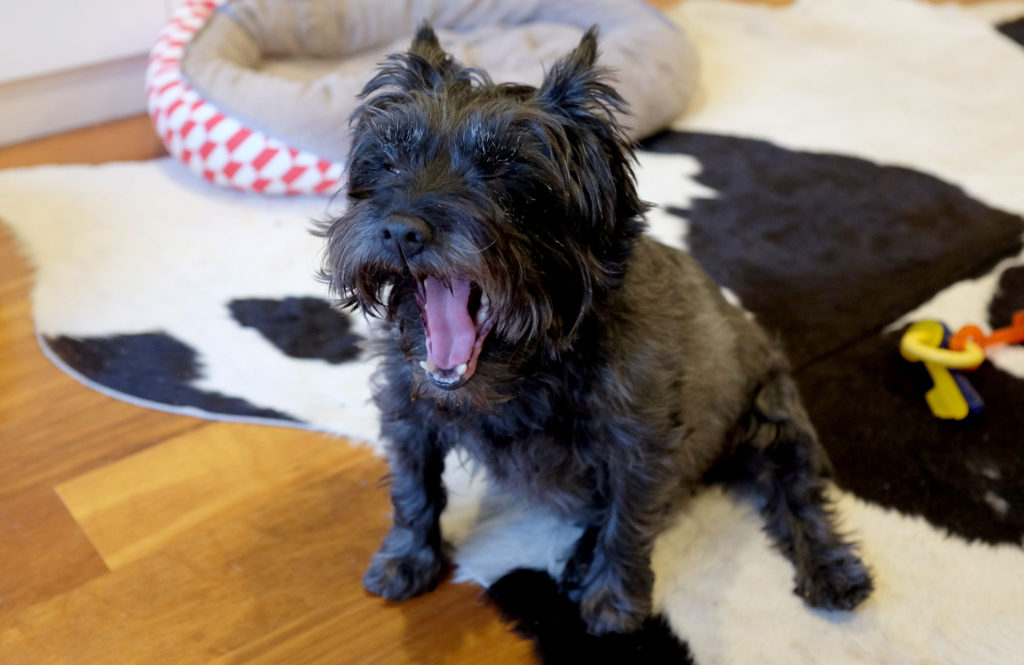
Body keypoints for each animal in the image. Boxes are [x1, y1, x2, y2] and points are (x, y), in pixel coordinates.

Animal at [321, 25, 872, 635]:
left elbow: (627, 523)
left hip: (775, 420)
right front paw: (405, 560)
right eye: (390, 161)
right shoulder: (409, 412)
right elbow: (414, 490)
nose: (400, 230)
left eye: (504, 167)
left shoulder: (639, 447)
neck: (529, 366)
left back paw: (832, 570)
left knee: (799, 495)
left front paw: (614, 599)